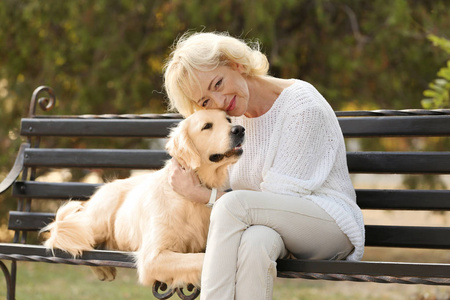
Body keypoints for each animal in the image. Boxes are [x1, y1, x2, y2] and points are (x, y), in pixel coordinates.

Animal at [41, 109, 244, 288]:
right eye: (207, 126)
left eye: (228, 119)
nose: (240, 129)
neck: (190, 198)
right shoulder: (152, 257)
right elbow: (204, 259)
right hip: (95, 223)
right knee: (66, 239)